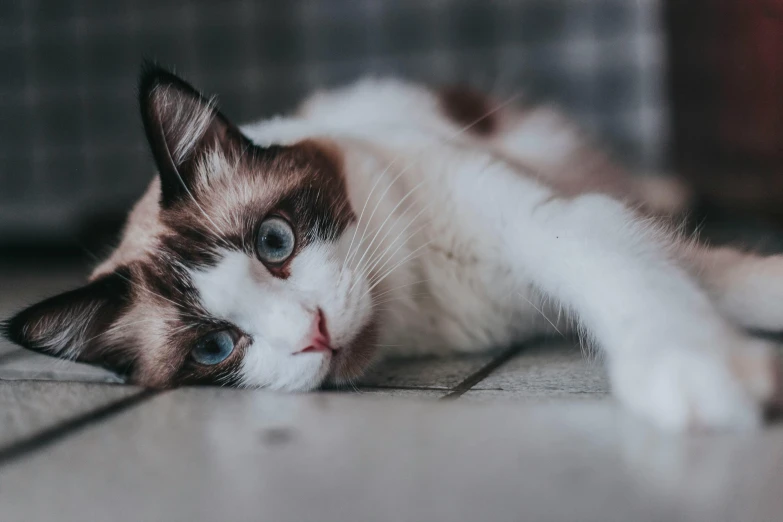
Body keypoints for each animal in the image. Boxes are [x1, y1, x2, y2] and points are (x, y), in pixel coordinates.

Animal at [3, 61, 780, 428]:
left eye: (274, 242)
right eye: (216, 348)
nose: (314, 333)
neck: (424, 300)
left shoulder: (561, 221)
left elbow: (655, 282)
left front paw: (700, 371)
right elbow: (698, 279)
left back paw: (669, 185)